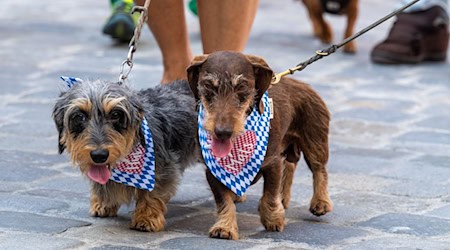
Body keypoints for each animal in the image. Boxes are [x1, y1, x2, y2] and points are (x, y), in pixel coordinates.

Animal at [187, 51, 334, 240]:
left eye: (241, 86)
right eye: (207, 85)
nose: (222, 132)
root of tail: (303, 85)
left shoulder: (272, 162)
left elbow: (270, 194)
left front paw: (273, 219)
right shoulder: (212, 172)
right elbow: (223, 201)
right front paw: (225, 227)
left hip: (315, 140)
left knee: (319, 170)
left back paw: (320, 202)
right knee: (291, 166)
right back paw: (283, 198)